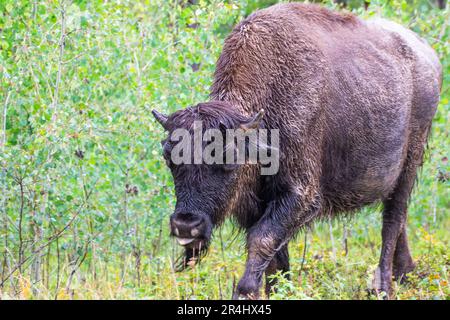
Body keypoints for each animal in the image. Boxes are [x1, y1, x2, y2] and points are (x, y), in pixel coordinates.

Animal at [153, 2, 442, 298]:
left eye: (228, 157)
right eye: (168, 157)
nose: (186, 225)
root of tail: (429, 56)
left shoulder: (301, 196)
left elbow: (262, 240)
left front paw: (245, 291)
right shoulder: (255, 203)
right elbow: (276, 259)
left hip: (410, 163)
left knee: (392, 220)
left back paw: (382, 286)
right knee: (398, 223)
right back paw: (406, 274)